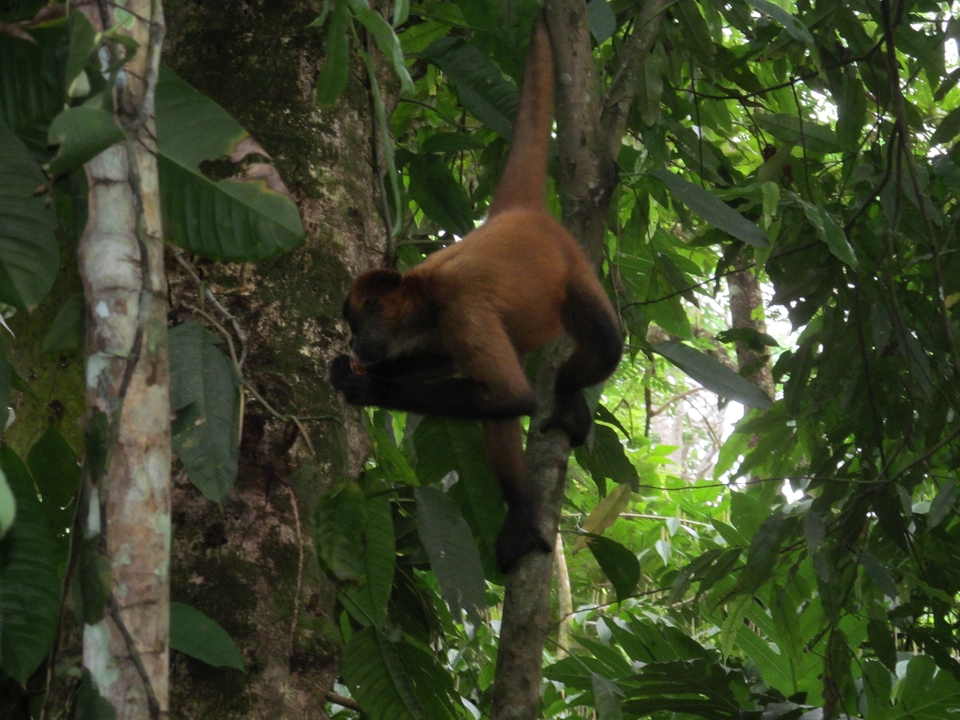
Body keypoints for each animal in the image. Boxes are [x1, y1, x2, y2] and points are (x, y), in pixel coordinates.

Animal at [330, 13, 623, 573]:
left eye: (358, 323)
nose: (353, 345)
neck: (423, 289)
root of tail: (514, 214)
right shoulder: (434, 330)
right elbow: (461, 377)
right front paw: (350, 372)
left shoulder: (457, 306)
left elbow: (511, 395)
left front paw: (369, 389)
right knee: (498, 407)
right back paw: (524, 506)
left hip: (571, 267)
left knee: (603, 345)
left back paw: (565, 403)